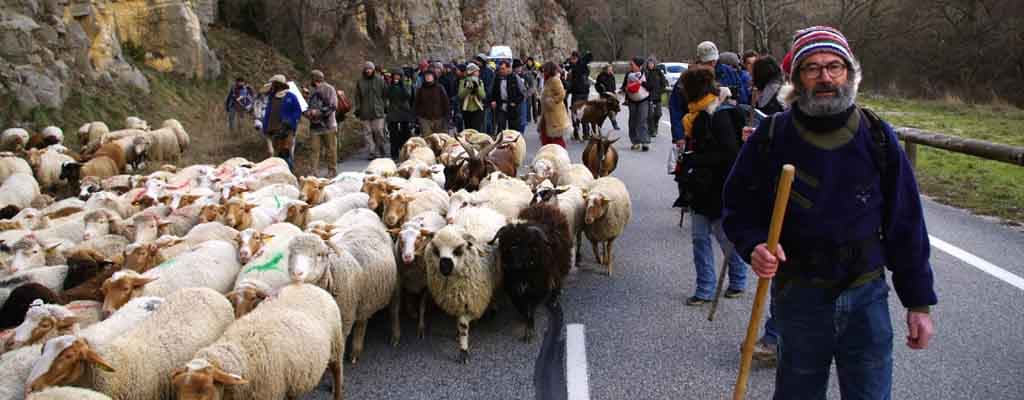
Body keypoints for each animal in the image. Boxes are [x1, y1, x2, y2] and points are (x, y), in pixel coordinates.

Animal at [489, 203, 573, 341]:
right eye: (510, 244)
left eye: (527, 244)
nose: (513, 264)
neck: (523, 273)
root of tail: (546, 206)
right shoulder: (513, 288)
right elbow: (520, 306)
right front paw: (524, 320)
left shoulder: (538, 287)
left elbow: (530, 308)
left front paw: (529, 328)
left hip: (560, 261)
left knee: (558, 279)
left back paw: (554, 298)